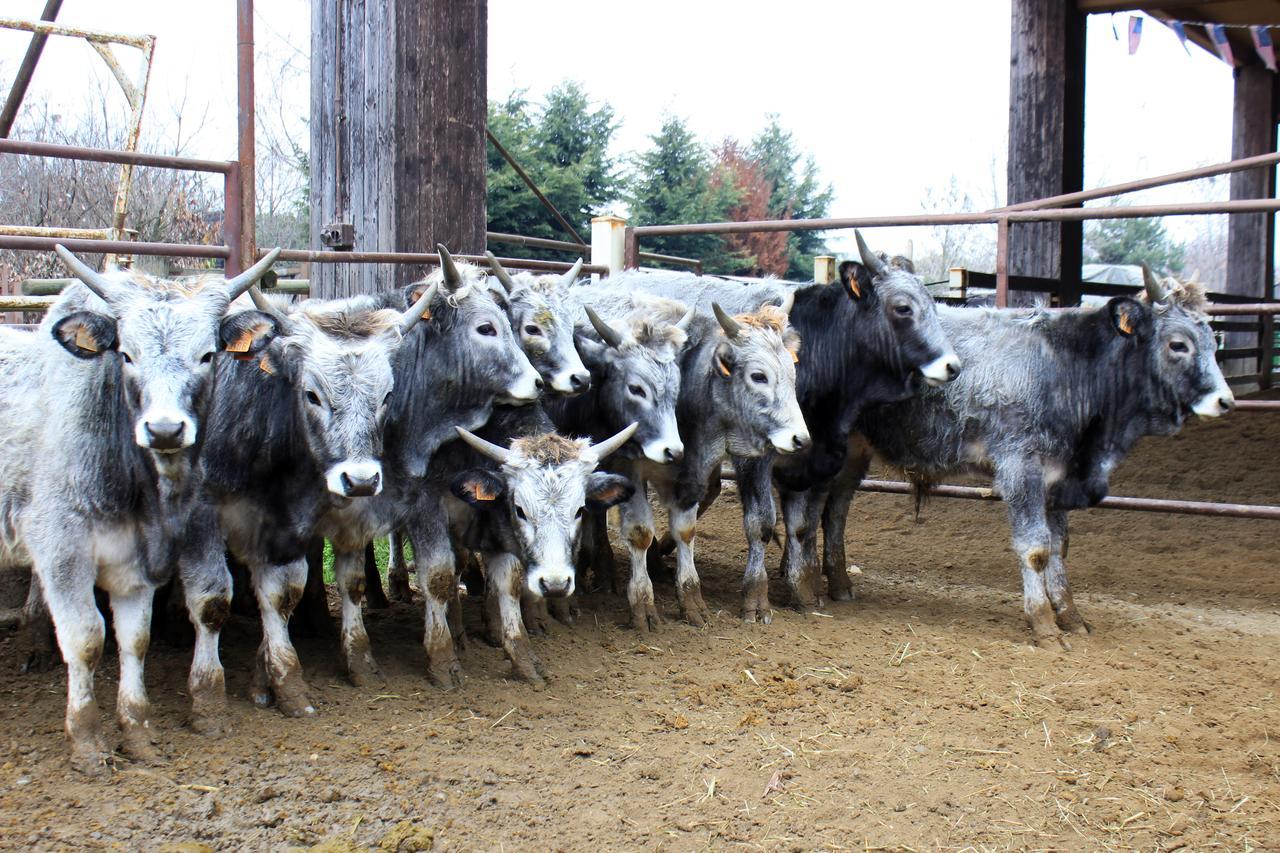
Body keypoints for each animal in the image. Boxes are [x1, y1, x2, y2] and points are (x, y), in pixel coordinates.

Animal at [0, 245, 277, 768]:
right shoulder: (61, 550)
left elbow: (135, 639)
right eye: (127, 354)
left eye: (207, 354)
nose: (165, 429)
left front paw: (137, 731)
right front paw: (87, 740)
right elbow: (86, 638)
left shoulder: (138, 561)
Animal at [829, 266, 1228, 645]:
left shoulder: (1057, 478)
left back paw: (838, 583)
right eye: (1178, 344)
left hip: (852, 454)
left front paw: (1071, 617)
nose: (1225, 400)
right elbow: (1035, 548)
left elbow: (1058, 546)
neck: (1064, 369)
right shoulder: (1021, 469)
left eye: (1213, 343)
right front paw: (1044, 624)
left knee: (836, 508)